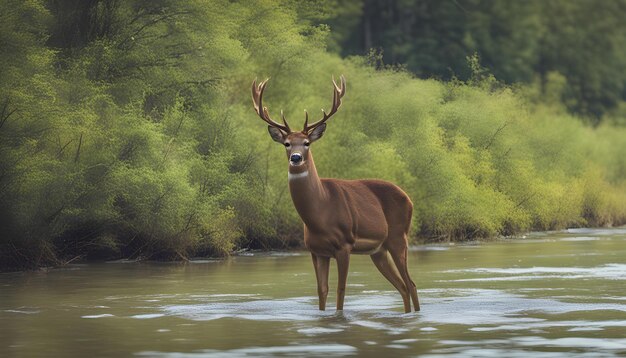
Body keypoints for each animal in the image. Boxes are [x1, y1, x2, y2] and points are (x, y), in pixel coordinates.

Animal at [250, 76, 420, 314]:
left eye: (307, 143)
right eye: (286, 143)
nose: (295, 158)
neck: (321, 213)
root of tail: (409, 197)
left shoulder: (344, 245)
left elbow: (341, 291)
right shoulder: (316, 251)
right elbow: (322, 292)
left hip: (398, 236)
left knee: (411, 284)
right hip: (378, 250)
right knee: (403, 286)